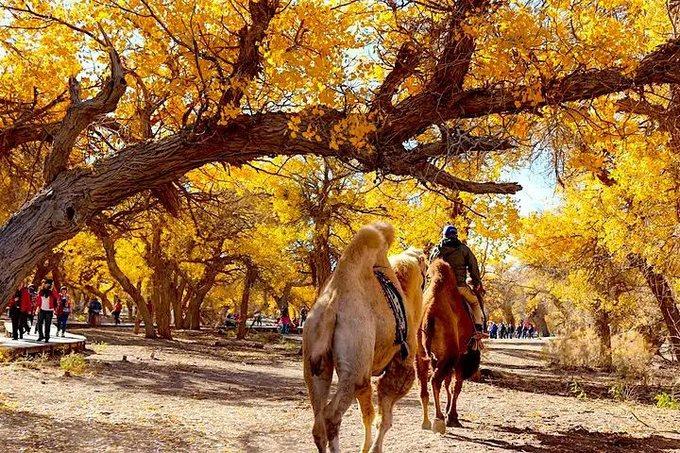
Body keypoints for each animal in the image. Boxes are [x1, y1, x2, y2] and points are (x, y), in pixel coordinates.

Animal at [418, 258, 480, 430]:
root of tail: (429, 314)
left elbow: (448, 383)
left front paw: (449, 413)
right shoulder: (461, 355)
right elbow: (455, 385)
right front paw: (452, 417)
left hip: (421, 354)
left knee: (424, 383)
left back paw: (426, 421)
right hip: (450, 355)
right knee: (435, 380)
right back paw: (438, 419)